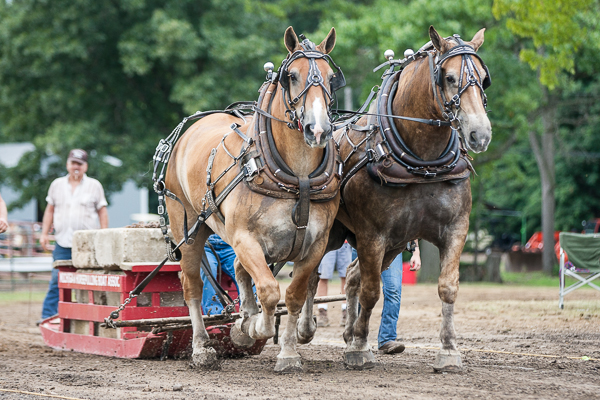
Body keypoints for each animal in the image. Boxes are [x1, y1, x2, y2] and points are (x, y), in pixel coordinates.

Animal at [162, 27, 344, 372]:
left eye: (331, 78)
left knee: (236, 269)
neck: (297, 176)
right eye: (291, 76)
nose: (318, 130)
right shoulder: (245, 238)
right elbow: (270, 292)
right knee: (192, 285)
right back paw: (202, 347)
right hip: (187, 228)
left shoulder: (316, 244)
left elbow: (294, 295)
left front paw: (288, 354)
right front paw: (252, 328)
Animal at [300, 25, 492, 372]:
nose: (479, 135)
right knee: (313, 275)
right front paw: (359, 349)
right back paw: (306, 329)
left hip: (393, 243)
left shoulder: (455, 229)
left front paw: (448, 351)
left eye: (484, 78)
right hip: (332, 234)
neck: (422, 163)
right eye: (448, 77)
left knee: (351, 277)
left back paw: (348, 332)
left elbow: (447, 288)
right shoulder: (372, 234)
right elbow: (371, 292)